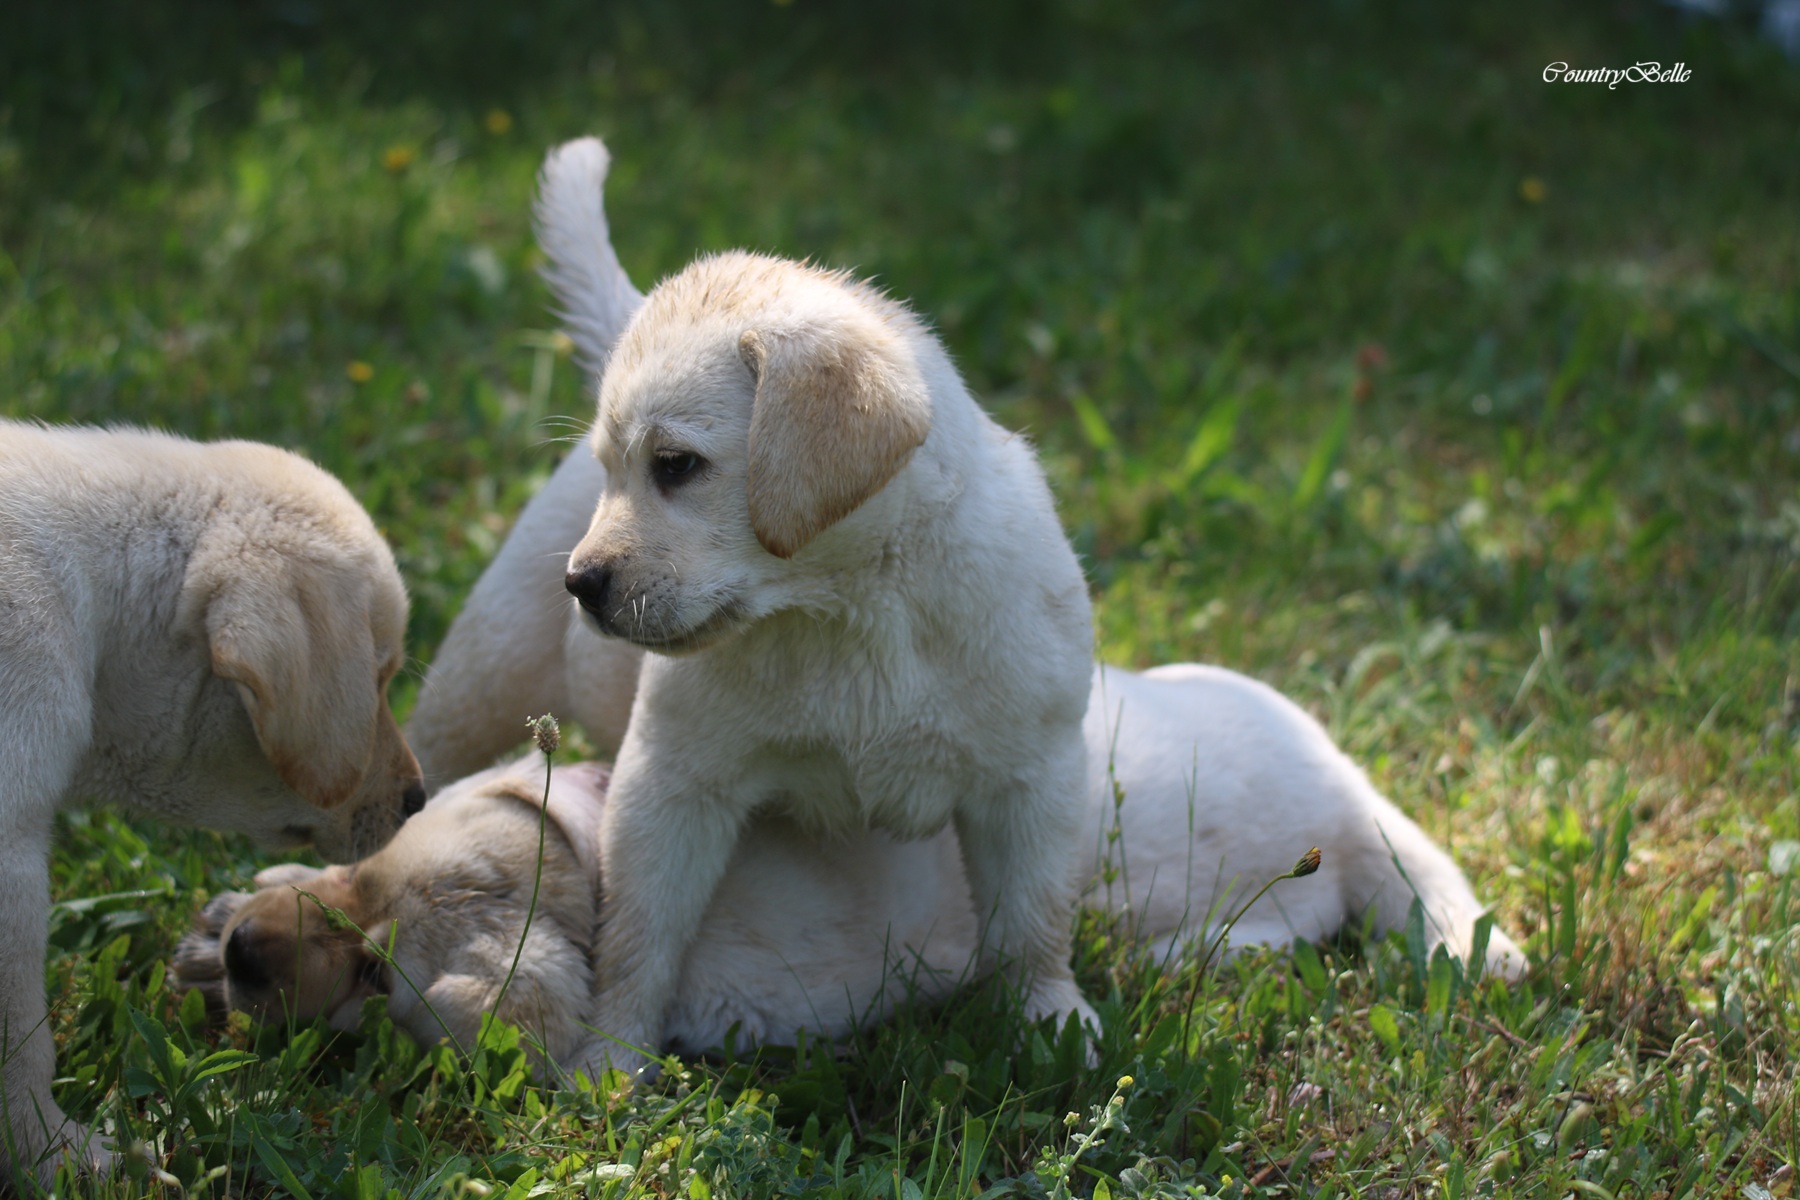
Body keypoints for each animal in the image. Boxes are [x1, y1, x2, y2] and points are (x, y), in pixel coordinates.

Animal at [181, 662, 1526, 1073]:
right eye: (352, 898)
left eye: (374, 975)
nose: (244, 957)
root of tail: (1345, 773)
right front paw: (216, 922)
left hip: (1303, 850)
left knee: (1324, 906)